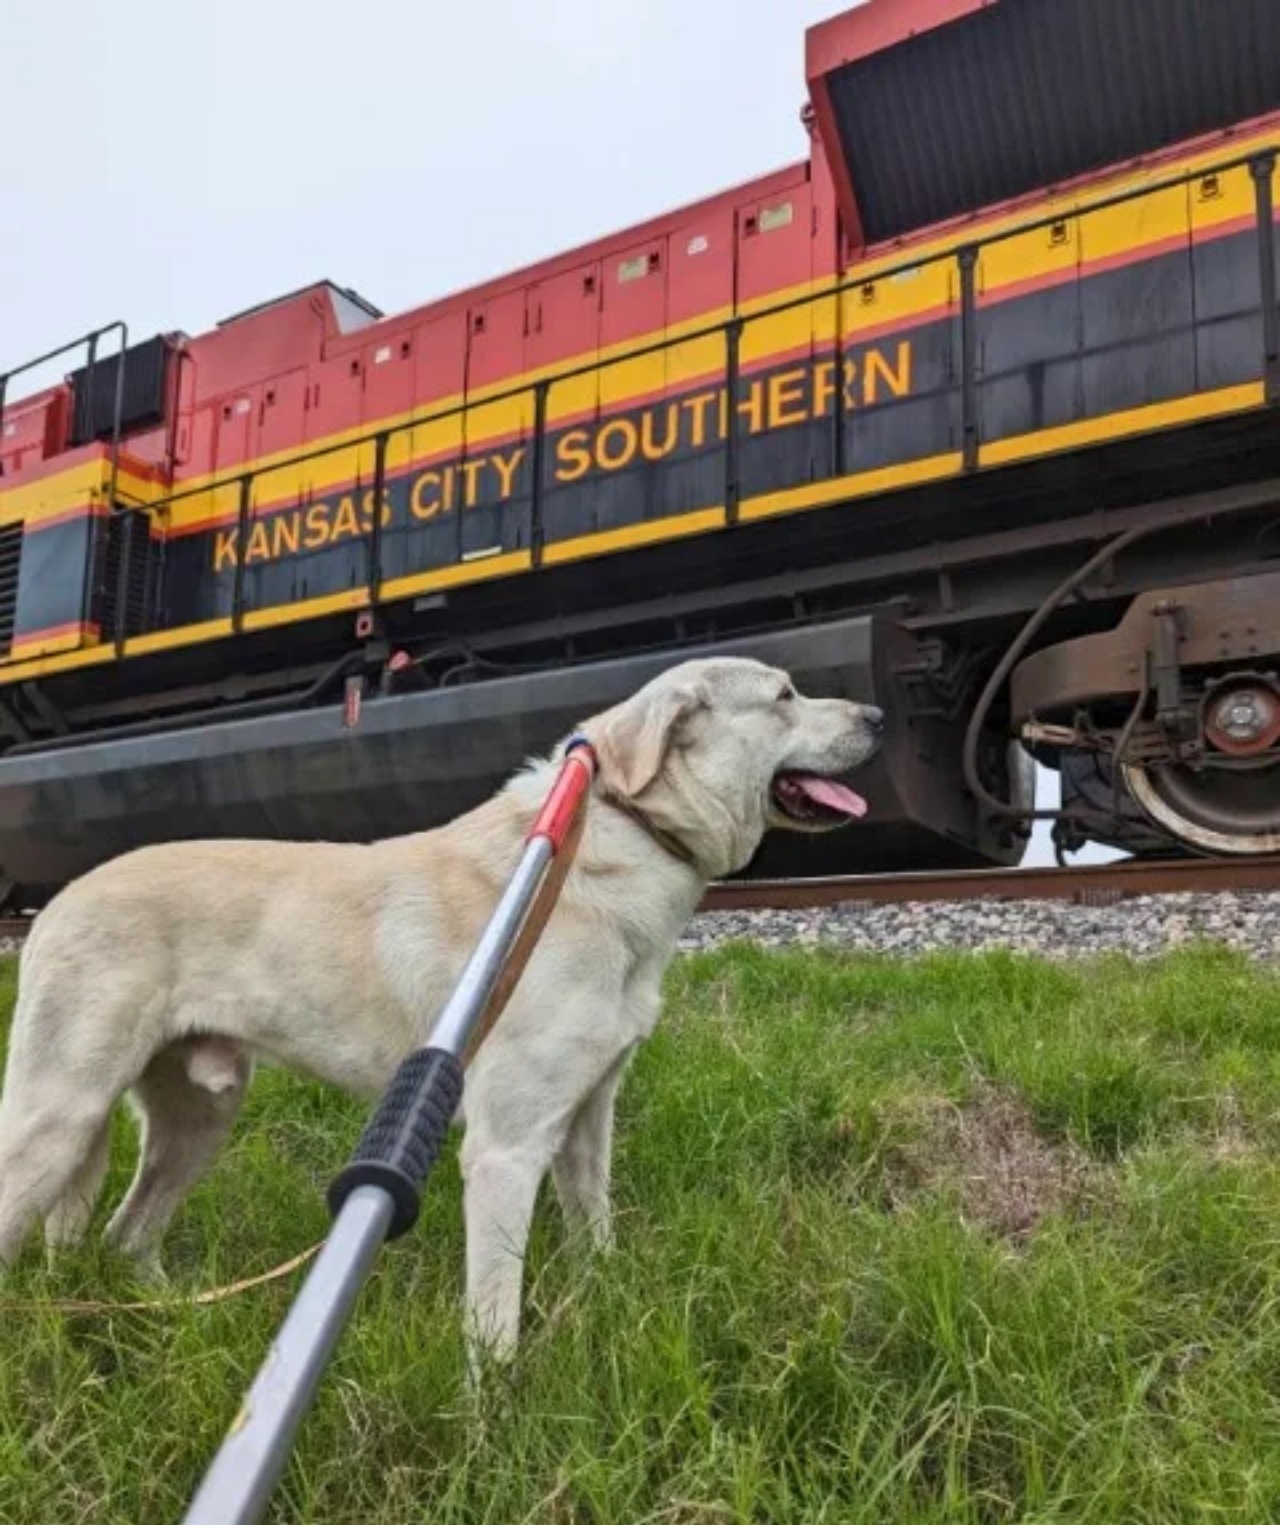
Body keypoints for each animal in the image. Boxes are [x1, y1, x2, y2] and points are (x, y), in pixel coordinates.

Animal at [0, 652, 878, 1360]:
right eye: (786, 694)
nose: (876, 715)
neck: (620, 835)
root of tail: (58, 901)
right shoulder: (504, 1149)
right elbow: (493, 1317)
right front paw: (494, 1422)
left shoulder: (587, 1117)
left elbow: (595, 1233)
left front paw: (603, 1310)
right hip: (59, 1116)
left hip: (200, 1115)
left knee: (125, 1234)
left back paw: (170, 1315)